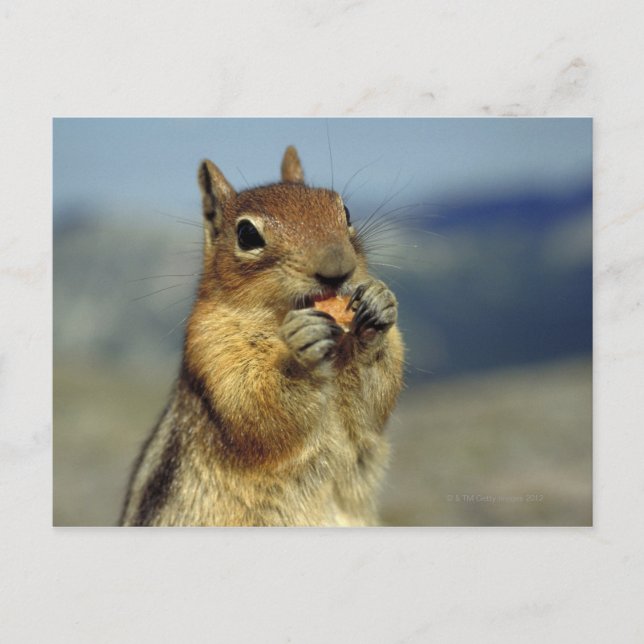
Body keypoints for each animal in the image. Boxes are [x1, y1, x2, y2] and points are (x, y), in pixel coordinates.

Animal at [120, 146, 404, 526]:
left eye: (344, 210)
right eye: (247, 235)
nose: (337, 269)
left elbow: (373, 404)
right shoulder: (213, 352)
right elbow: (259, 408)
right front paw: (300, 353)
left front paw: (378, 306)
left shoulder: (363, 425)